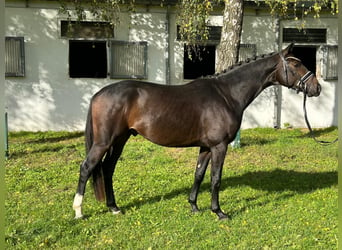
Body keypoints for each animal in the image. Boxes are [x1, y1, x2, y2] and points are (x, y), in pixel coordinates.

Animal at [72, 44, 320, 220]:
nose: (316, 88)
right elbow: (215, 179)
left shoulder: (206, 146)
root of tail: (99, 94)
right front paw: (219, 212)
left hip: (120, 139)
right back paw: (78, 211)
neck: (226, 94)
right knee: (87, 167)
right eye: (296, 65)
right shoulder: (219, 146)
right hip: (104, 142)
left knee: (107, 168)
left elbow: (199, 175)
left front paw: (194, 206)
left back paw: (114, 208)